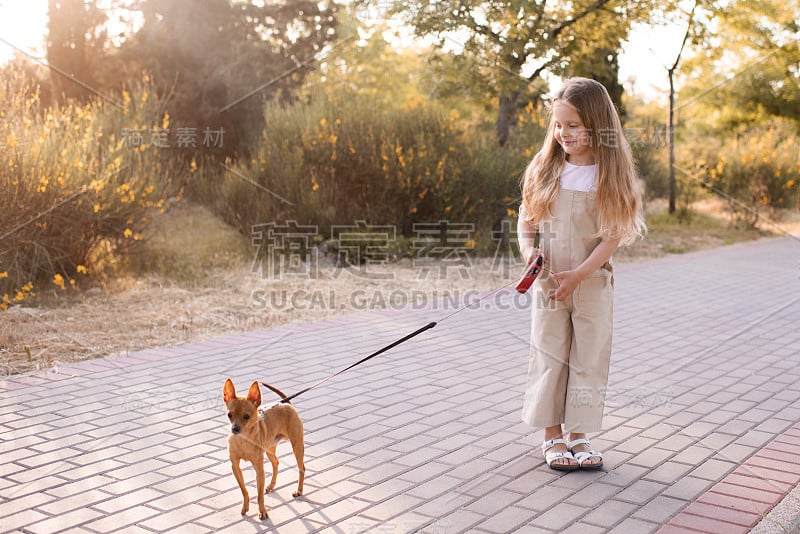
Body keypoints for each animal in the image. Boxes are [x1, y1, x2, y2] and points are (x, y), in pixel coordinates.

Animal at [222, 378, 306, 520]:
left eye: (246, 416)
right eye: (229, 415)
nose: (235, 429)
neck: (243, 440)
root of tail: (286, 403)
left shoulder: (259, 470)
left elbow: (259, 495)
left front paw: (262, 511)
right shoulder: (235, 467)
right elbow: (244, 490)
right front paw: (245, 507)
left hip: (297, 446)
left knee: (301, 469)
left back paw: (299, 491)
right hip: (269, 450)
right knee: (276, 463)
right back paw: (271, 485)